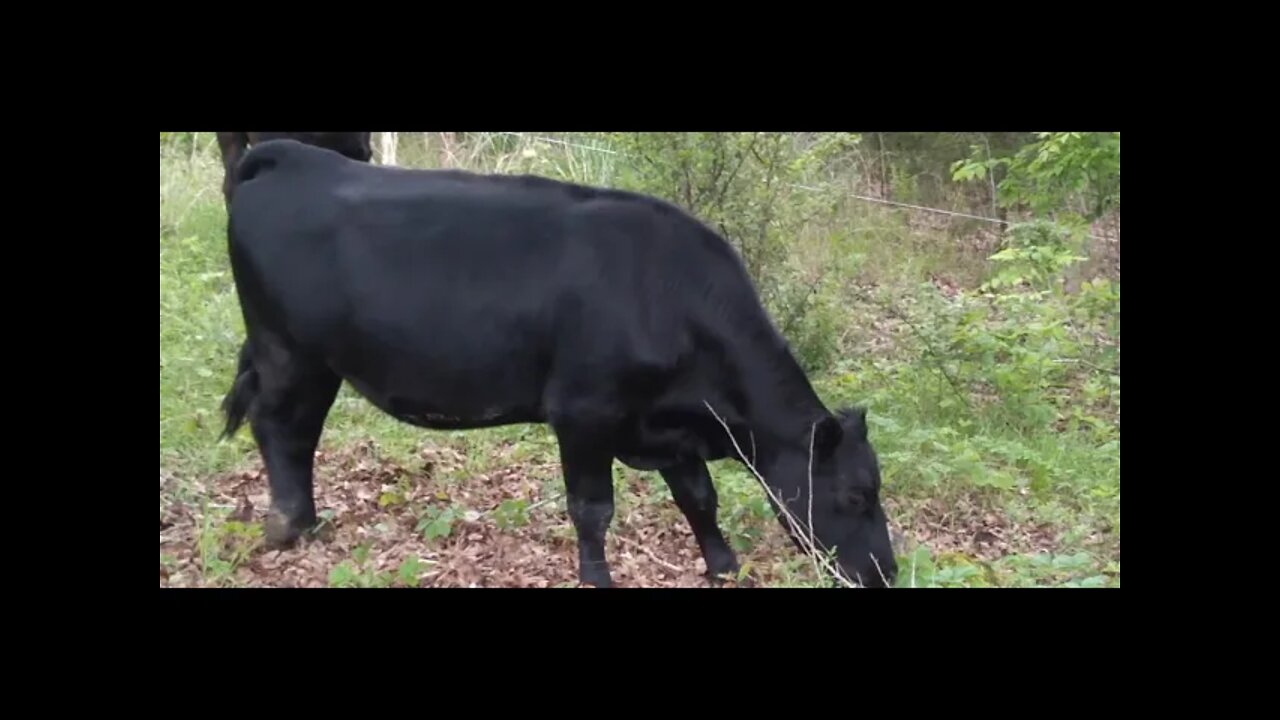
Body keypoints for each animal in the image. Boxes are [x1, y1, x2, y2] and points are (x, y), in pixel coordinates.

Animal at [220, 137, 901, 586]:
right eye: (857, 495)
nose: (888, 573)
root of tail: (293, 155)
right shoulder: (583, 411)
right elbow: (593, 510)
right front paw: (597, 579)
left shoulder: (664, 423)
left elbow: (698, 496)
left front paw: (724, 566)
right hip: (289, 349)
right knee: (282, 426)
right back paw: (290, 524)